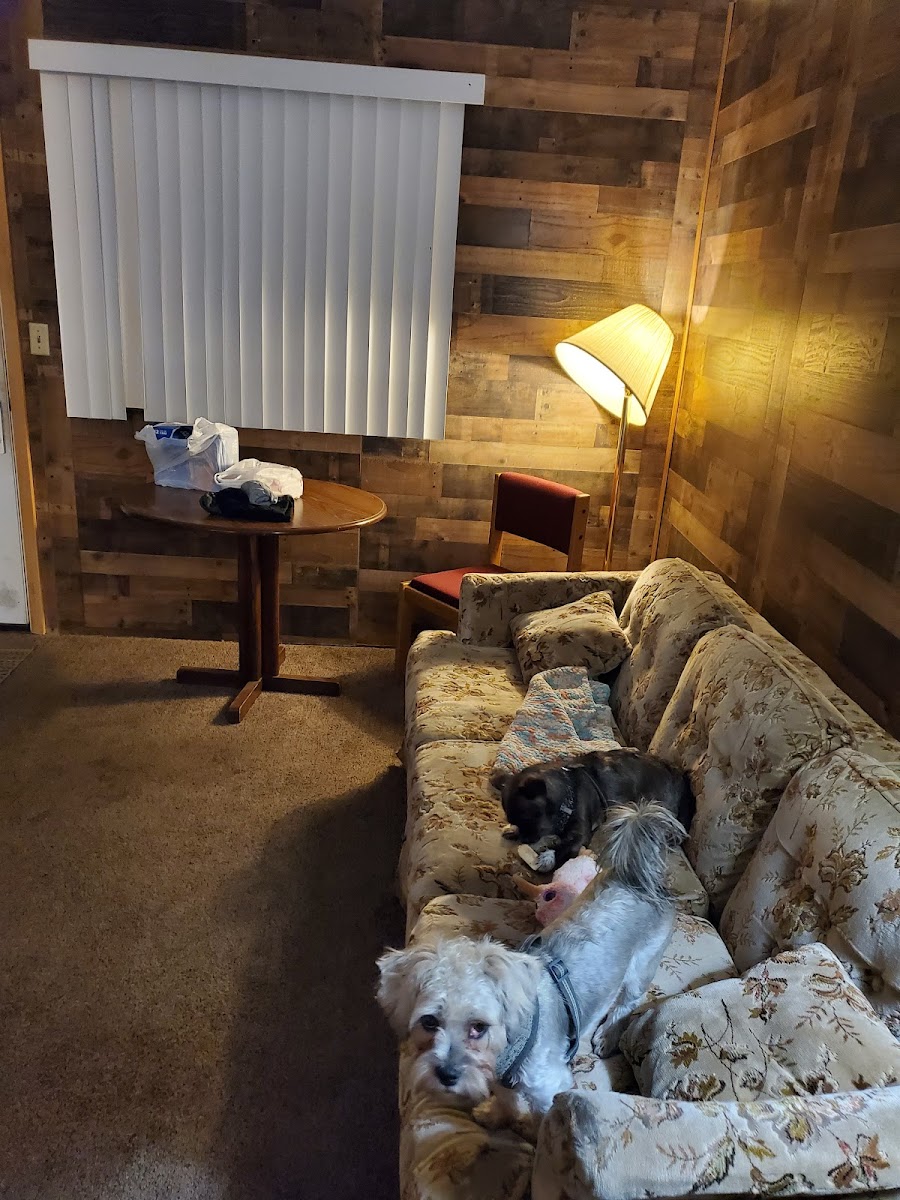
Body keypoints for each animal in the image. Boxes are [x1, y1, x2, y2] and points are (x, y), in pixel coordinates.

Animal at [377, 800, 683, 1136]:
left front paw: (531, 1134)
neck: (510, 1046)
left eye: (479, 1027)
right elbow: (505, 1096)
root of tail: (638, 878)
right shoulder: (504, 1080)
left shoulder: (548, 1088)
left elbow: (541, 1120)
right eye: (429, 1022)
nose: (446, 1075)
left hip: (641, 967)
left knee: (626, 1003)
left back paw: (607, 1035)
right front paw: (498, 1115)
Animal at [496, 747, 693, 871]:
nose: (524, 839)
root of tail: (679, 775)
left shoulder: (580, 834)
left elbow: (564, 848)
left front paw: (547, 858)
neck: (568, 793)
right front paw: (512, 830)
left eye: (528, 818)